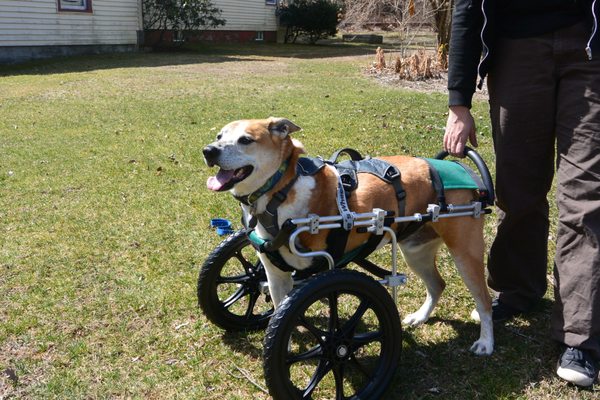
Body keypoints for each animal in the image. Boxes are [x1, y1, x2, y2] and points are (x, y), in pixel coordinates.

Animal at [202, 117, 492, 354]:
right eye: (219, 135)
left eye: (245, 140)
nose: (209, 150)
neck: (282, 189)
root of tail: (461, 171)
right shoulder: (275, 276)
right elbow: (277, 309)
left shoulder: (324, 276)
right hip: (415, 251)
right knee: (437, 285)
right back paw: (420, 317)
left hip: (465, 253)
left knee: (484, 299)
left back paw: (485, 342)